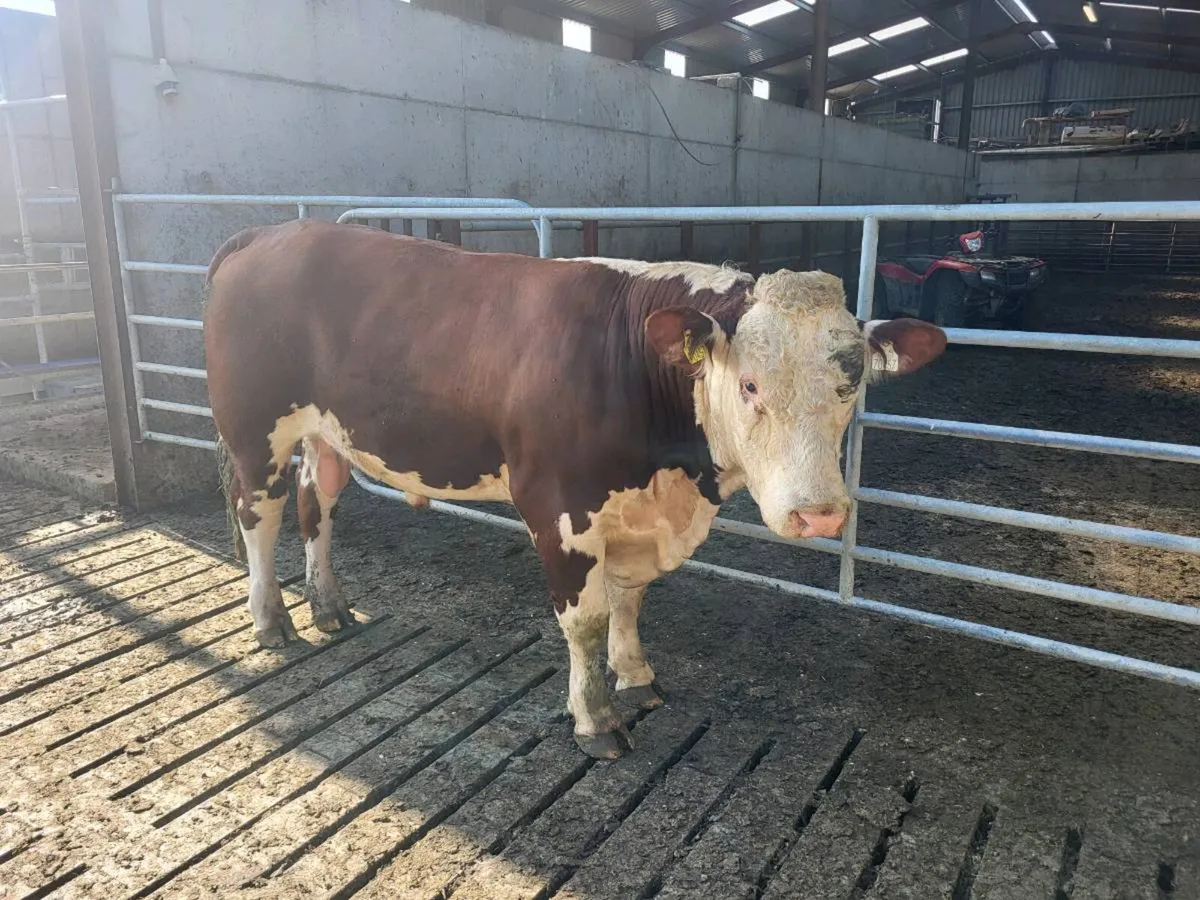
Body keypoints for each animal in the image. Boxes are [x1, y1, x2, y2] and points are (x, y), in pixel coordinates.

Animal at [203, 219, 945, 759]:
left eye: (852, 384)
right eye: (749, 384)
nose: (818, 514)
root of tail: (265, 233)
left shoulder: (634, 515)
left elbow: (630, 599)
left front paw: (637, 676)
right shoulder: (558, 507)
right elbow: (583, 620)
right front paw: (596, 719)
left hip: (325, 432)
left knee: (317, 504)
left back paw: (328, 605)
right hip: (255, 430)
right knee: (260, 514)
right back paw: (271, 620)